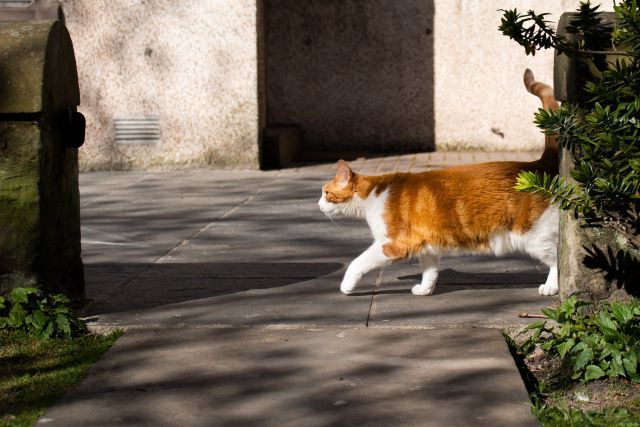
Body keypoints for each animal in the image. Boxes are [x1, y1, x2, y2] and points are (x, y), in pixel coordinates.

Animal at [320, 70, 560, 298]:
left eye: (326, 193)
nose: (319, 205)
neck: (372, 196)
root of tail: (538, 164)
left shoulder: (393, 244)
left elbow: (357, 262)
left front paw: (346, 286)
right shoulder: (425, 244)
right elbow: (429, 271)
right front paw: (424, 290)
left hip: (533, 235)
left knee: (557, 258)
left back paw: (551, 287)